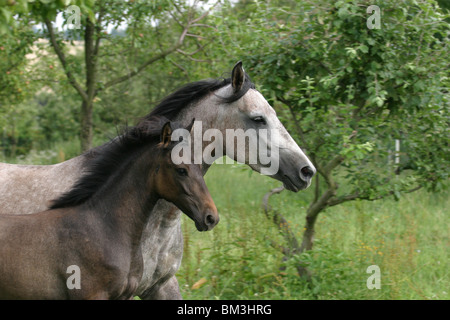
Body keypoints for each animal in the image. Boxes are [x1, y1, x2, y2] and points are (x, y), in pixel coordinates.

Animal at [0, 118, 218, 300]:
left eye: (199, 167)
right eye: (181, 170)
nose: (211, 217)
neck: (104, 228)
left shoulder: (125, 296)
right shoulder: (92, 295)